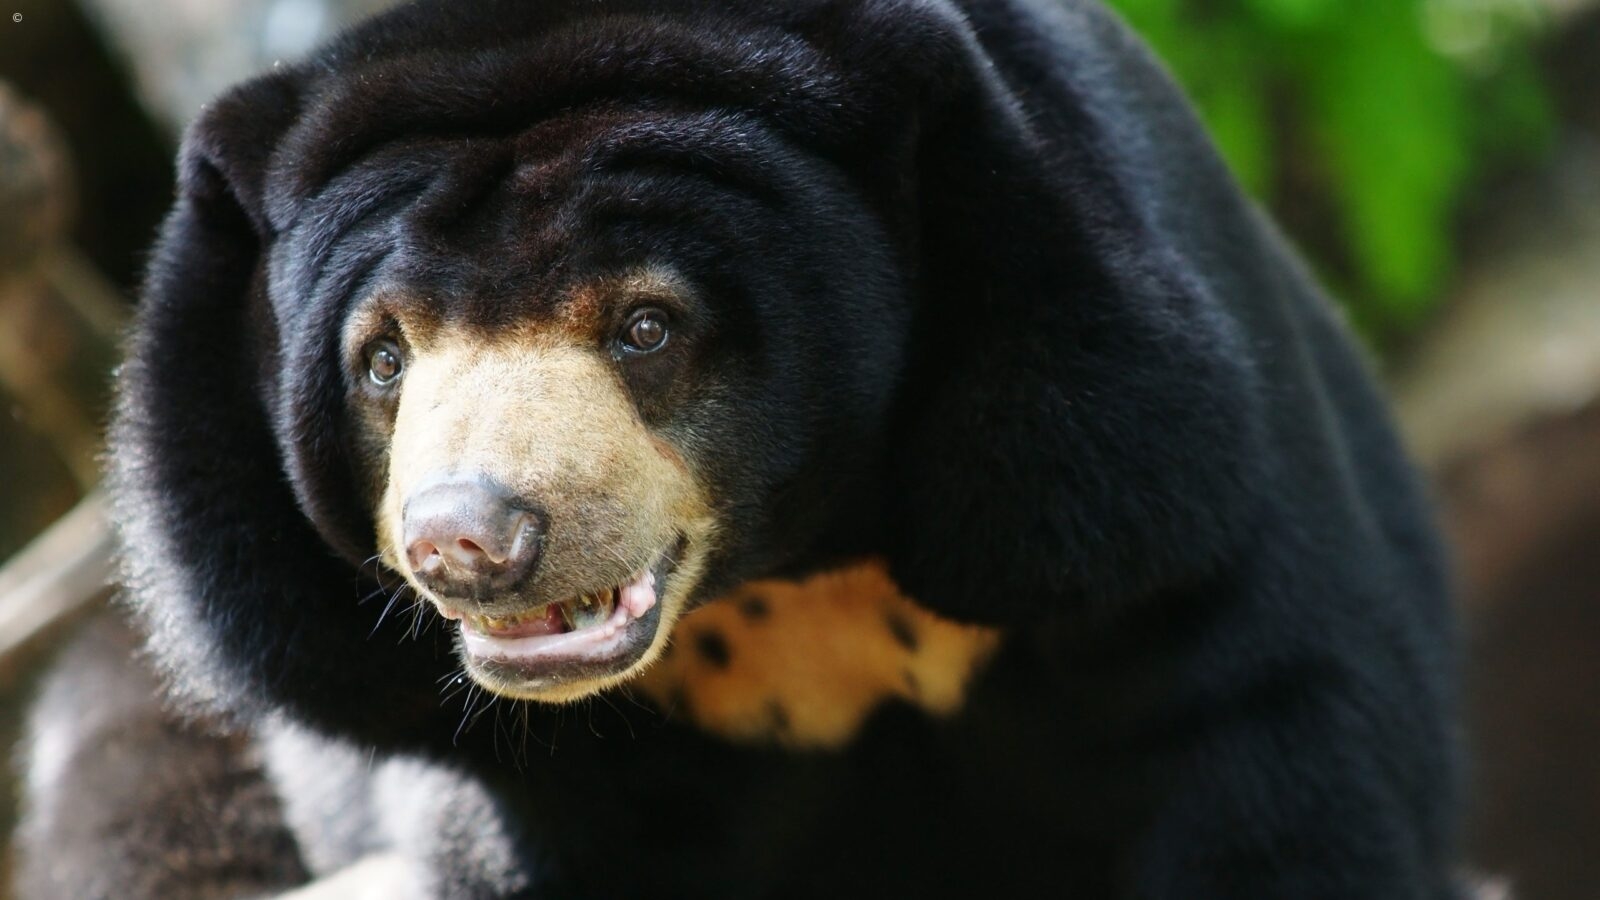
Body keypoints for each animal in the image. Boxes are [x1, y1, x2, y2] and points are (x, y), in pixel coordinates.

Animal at [16, 0, 1465, 897]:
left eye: (647, 325)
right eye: (382, 359)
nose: (468, 538)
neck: (792, 571)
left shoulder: (1138, 489)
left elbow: (1273, 774)